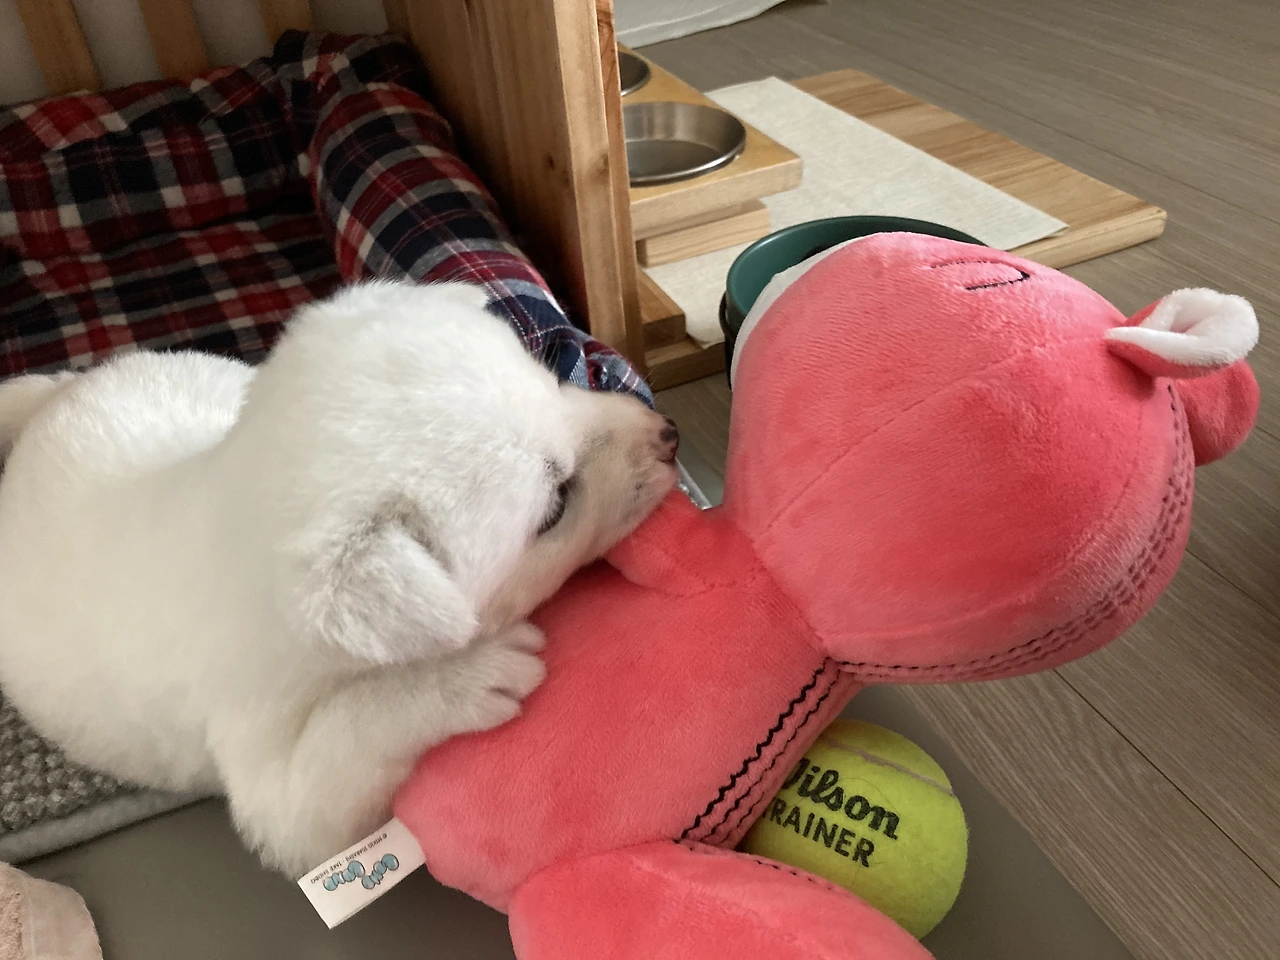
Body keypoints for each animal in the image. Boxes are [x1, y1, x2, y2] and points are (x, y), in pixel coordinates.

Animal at [0, 281, 678, 876]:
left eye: (554, 383)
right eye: (556, 505)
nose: (669, 434)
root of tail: (48, 407)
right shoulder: (273, 781)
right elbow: (336, 750)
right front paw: (465, 678)